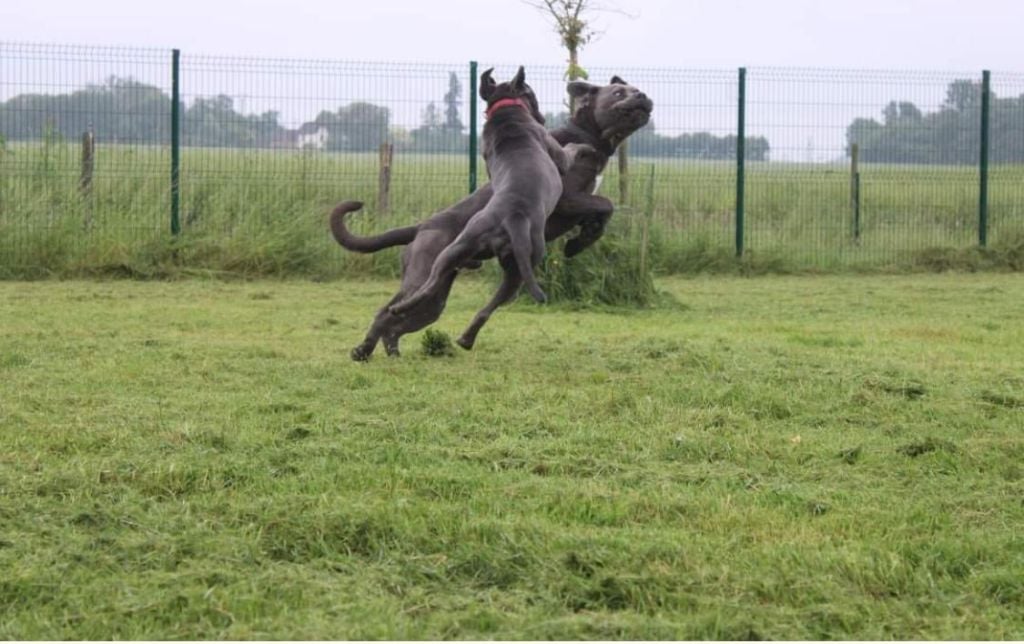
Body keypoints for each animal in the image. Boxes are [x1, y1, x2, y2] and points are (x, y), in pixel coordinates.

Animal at [331, 74, 651, 362]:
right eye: (619, 93)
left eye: (634, 89)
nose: (643, 95)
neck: (588, 135)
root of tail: (422, 226)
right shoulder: (567, 198)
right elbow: (605, 204)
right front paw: (579, 242)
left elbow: (600, 214)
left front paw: (580, 241)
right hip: (424, 276)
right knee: (386, 312)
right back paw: (363, 350)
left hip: (445, 298)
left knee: (404, 321)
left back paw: (411, 348)